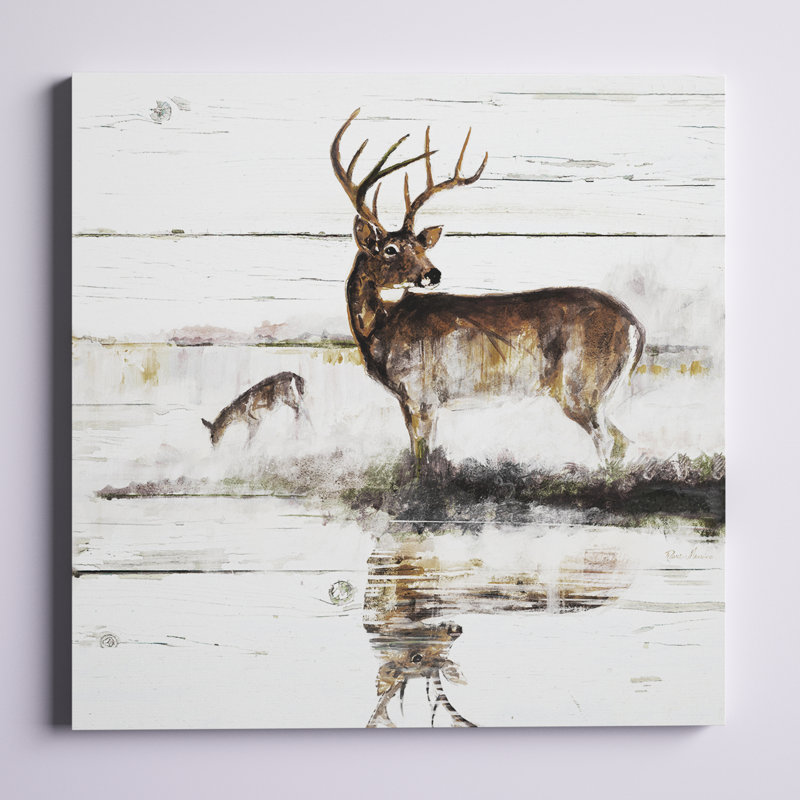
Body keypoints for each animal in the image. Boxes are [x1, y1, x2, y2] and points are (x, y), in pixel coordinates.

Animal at [331, 109, 645, 469]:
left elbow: (423, 458)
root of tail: (636, 327)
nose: (433, 273)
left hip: (582, 386)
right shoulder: (414, 400)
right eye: (390, 249)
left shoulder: (421, 394)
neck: (380, 330)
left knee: (610, 442)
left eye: (420, 246)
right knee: (622, 443)